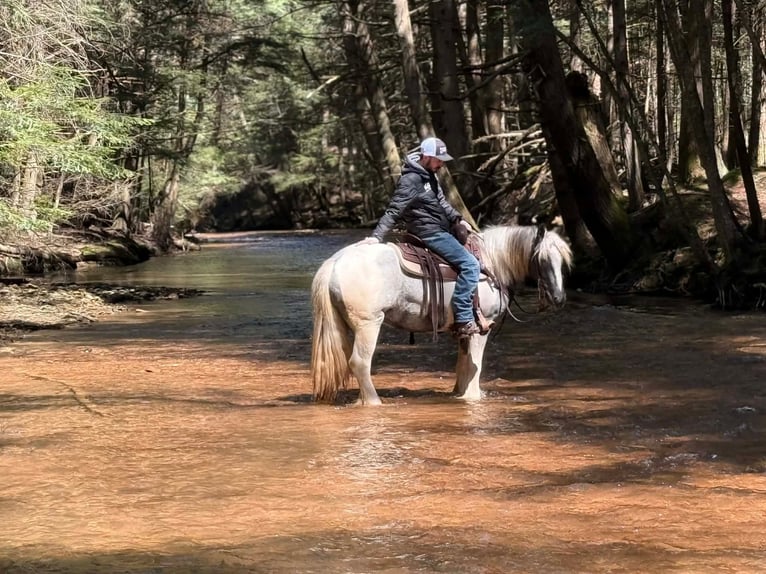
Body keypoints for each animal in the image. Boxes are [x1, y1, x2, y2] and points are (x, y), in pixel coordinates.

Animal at [310, 225, 573, 405]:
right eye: (542, 259)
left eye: (562, 261)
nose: (559, 298)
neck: (491, 264)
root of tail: (335, 262)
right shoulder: (482, 328)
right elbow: (476, 365)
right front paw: (473, 397)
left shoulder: (465, 329)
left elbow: (463, 365)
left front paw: (459, 393)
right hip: (369, 324)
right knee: (359, 362)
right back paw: (374, 402)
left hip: (343, 325)